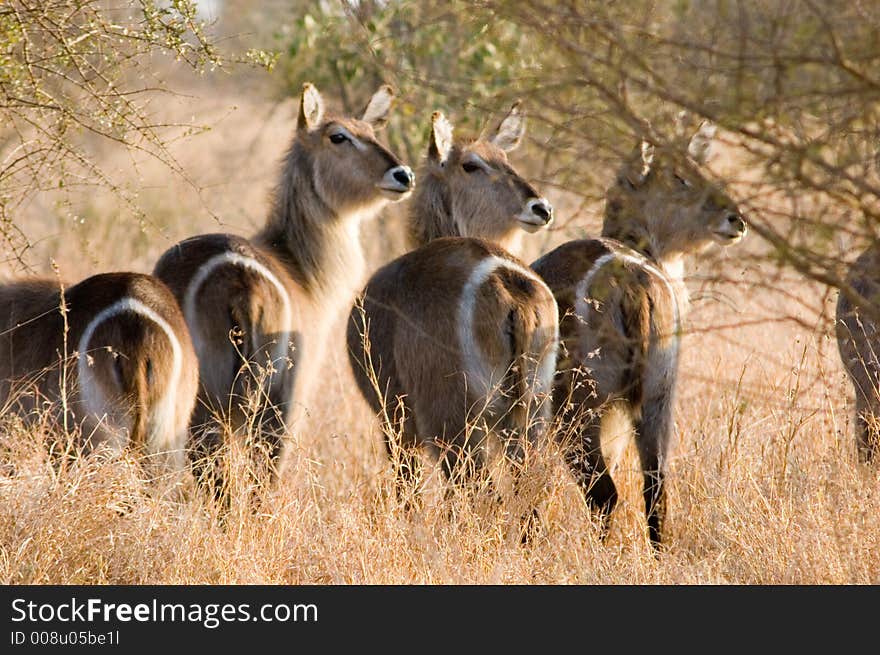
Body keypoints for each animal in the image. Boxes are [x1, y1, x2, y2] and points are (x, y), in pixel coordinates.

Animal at [155, 82, 416, 498]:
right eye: (338, 136)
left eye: (371, 132)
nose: (402, 174)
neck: (297, 266)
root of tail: (237, 278)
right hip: (265, 397)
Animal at [346, 107, 556, 516]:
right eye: (472, 165)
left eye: (505, 158)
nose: (541, 208)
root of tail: (506, 281)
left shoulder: (394, 419)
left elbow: (408, 491)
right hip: (531, 412)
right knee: (529, 491)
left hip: (453, 423)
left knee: (479, 492)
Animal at [532, 123, 744, 548]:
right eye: (679, 176)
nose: (736, 218)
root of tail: (631, 279)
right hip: (658, 395)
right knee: (655, 489)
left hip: (578, 409)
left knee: (603, 494)